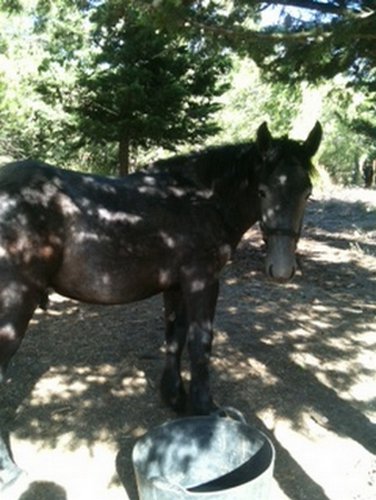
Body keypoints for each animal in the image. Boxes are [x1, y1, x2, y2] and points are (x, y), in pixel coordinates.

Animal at [0, 122, 320, 492]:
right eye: (263, 191)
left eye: (307, 192)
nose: (282, 270)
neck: (199, 200)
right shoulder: (201, 280)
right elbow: (200, 342)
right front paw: (205, 407)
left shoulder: (176, 285)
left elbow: (174, 336)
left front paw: (174, 397)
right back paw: (9, 474)